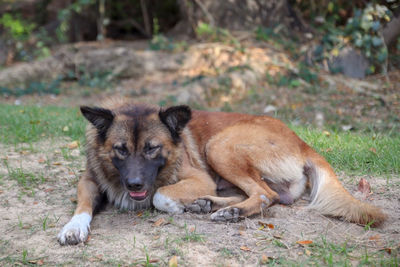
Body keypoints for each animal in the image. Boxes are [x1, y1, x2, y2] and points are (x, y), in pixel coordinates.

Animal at [57, 99, 386, 246]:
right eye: (121, 150)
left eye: (152, 149)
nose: (135, 184)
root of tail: (303, 142)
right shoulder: (89, 180)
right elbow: (82, 205)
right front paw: (74, 227)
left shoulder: (197, 177)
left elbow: (160, 195)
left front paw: (175, 205)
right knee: (257, 194)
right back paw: (210, 205)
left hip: (219, 146)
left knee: (264, 195)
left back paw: (228, 212)